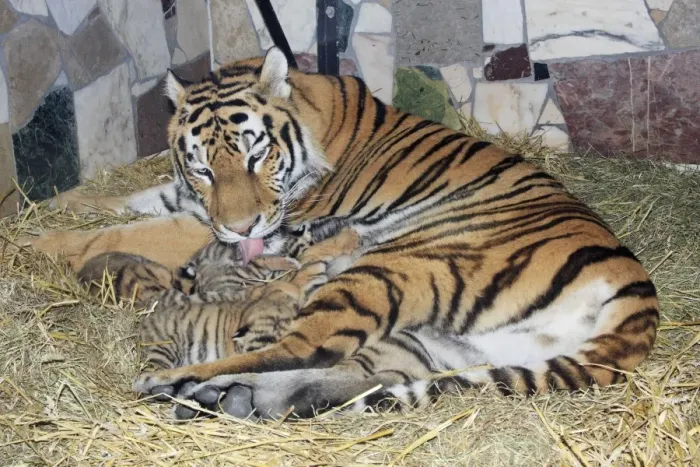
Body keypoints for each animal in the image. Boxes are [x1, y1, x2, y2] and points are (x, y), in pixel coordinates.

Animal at [24, 47, 659, 420]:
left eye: (256, 154)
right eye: (203, 167)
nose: (240, 228)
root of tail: (638, 300)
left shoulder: (232, 226)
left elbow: (122, 232)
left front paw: (37, 245)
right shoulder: (188, 199)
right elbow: (114, 204)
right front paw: (48, 208)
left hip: (398, 266)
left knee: (296, 348)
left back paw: (173, 383)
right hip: (445, 341)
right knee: (350, 371)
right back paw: (245, 399)